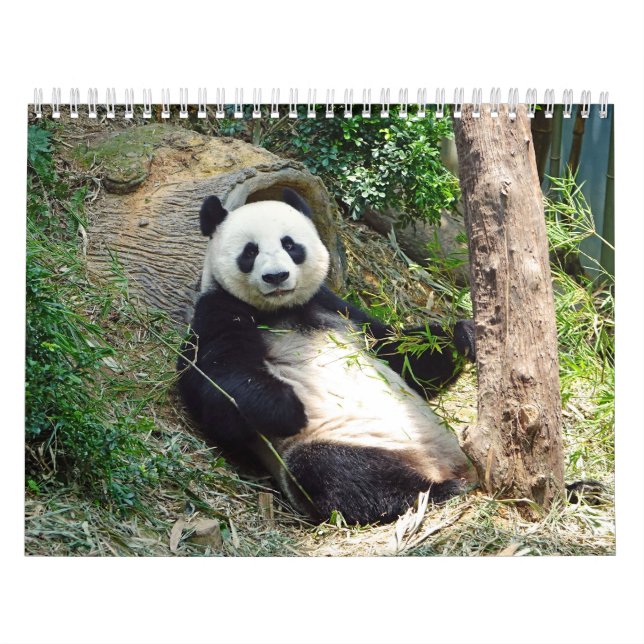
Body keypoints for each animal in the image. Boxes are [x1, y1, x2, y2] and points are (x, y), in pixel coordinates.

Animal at [177, 188, 478, 525]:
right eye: (250, 251)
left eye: (290, 244)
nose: (276, 276)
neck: (282, 309)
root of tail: (438, 465)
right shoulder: (218, 310)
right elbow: (216, 383)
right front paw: (287, 408)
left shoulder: (337, 308)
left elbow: (401, 356)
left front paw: (463, 335)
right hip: (344, 440)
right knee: (339, 472)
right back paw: (435, 491)